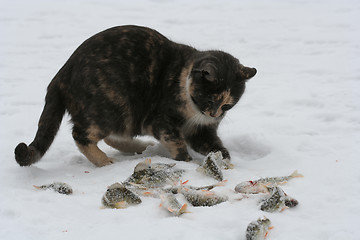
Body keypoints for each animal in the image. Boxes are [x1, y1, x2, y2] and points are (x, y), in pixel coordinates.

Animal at [14, 24, 256, 167]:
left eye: (227, 105)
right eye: (210, 98)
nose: (214, 114)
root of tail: (61, 74)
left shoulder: (202, 131)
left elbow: (214, 145)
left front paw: (225, 161)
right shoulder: (162, 122)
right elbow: (177, 143)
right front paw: (186, 162)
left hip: (123, 115)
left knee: (111, 136)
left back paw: (140, 148)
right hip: (111, 105)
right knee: (80, 135)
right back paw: (104, 162)